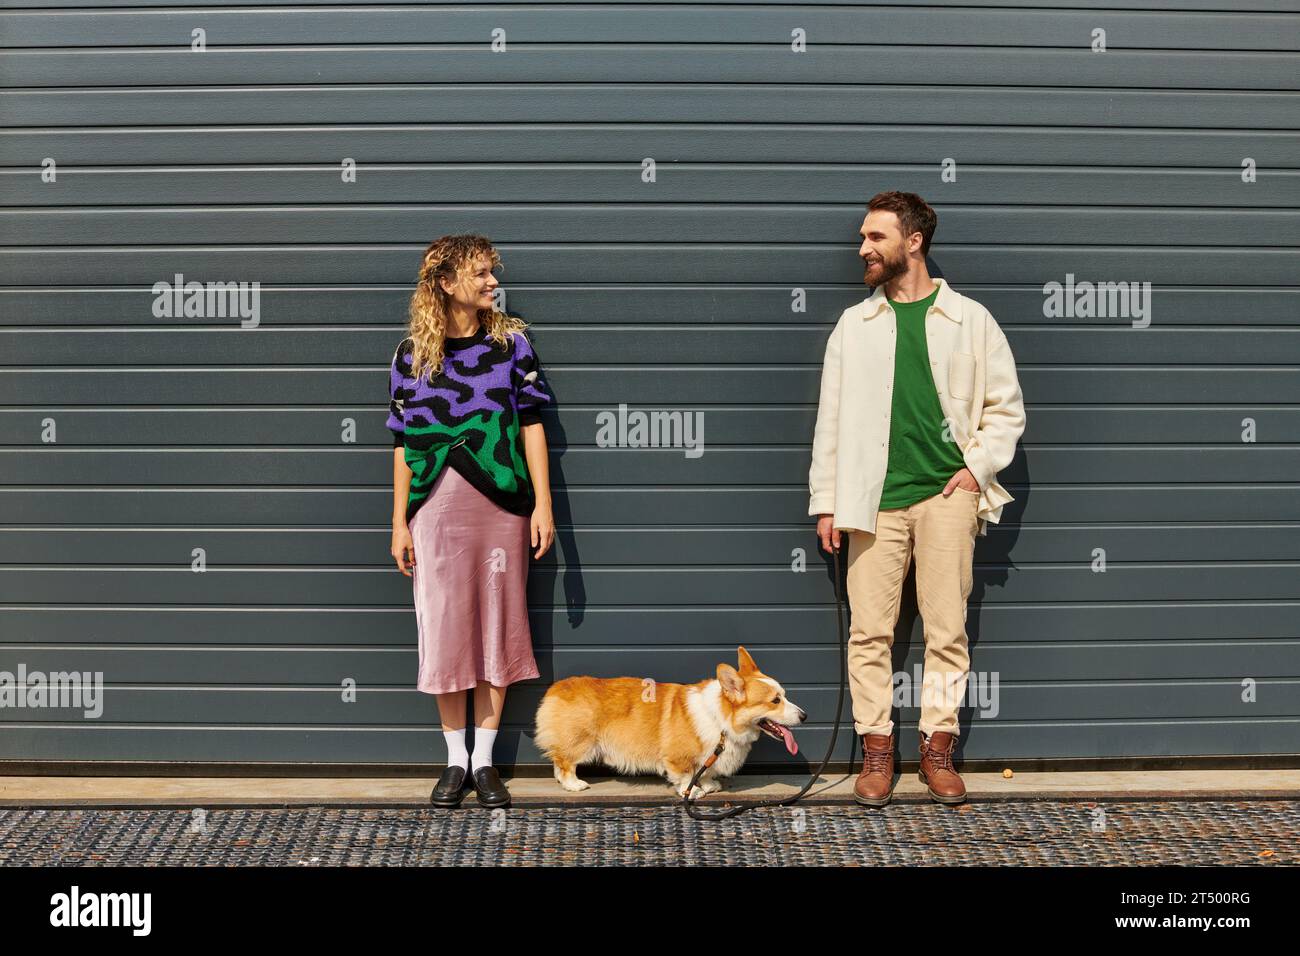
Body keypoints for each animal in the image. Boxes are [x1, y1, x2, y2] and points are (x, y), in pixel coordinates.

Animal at [535, 647, 800, 796]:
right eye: (775, 701)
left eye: (784, 695)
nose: (804, 716)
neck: (721, 718)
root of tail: (556, 688)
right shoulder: (678, 758)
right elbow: (685, 776)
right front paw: (692, 793)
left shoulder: (708, 756)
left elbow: (704, 771)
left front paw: (708, 785)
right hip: (581, 741)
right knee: (565, 762)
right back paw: (574, 785)